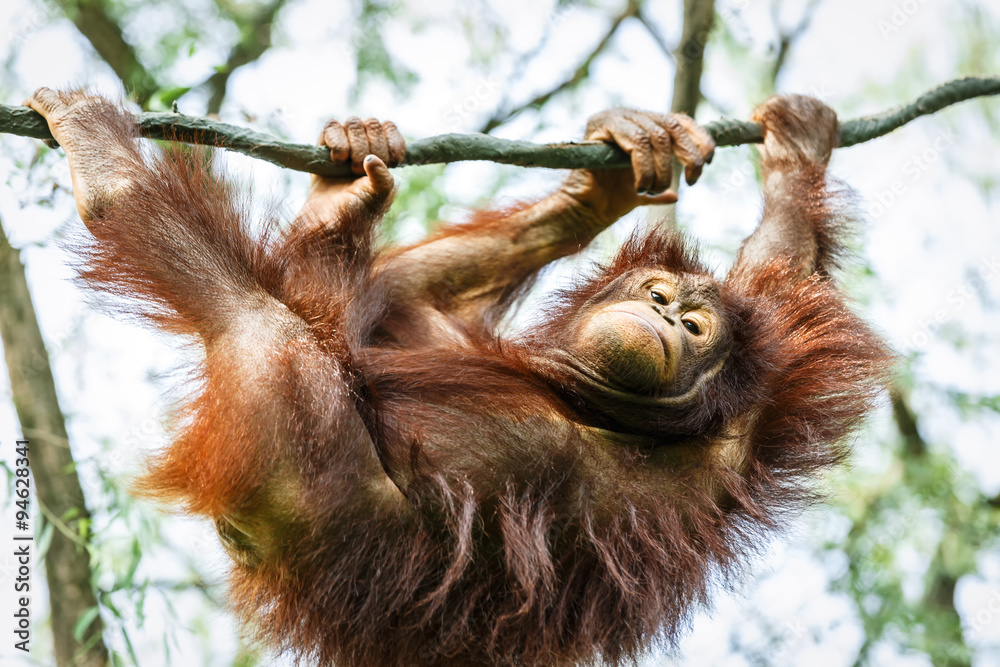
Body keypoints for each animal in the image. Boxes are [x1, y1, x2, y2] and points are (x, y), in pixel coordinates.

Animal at [25, 88, 890, 666]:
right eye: (657, 294)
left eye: (699, 328)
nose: (673, 316)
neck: (587, 394)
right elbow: (399, 304)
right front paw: (605, 179)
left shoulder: (747, 420)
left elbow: (783, 278)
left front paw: (798, 154)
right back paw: (338, 207)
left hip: (287, 472)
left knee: (262, 325)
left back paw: (109, 172)